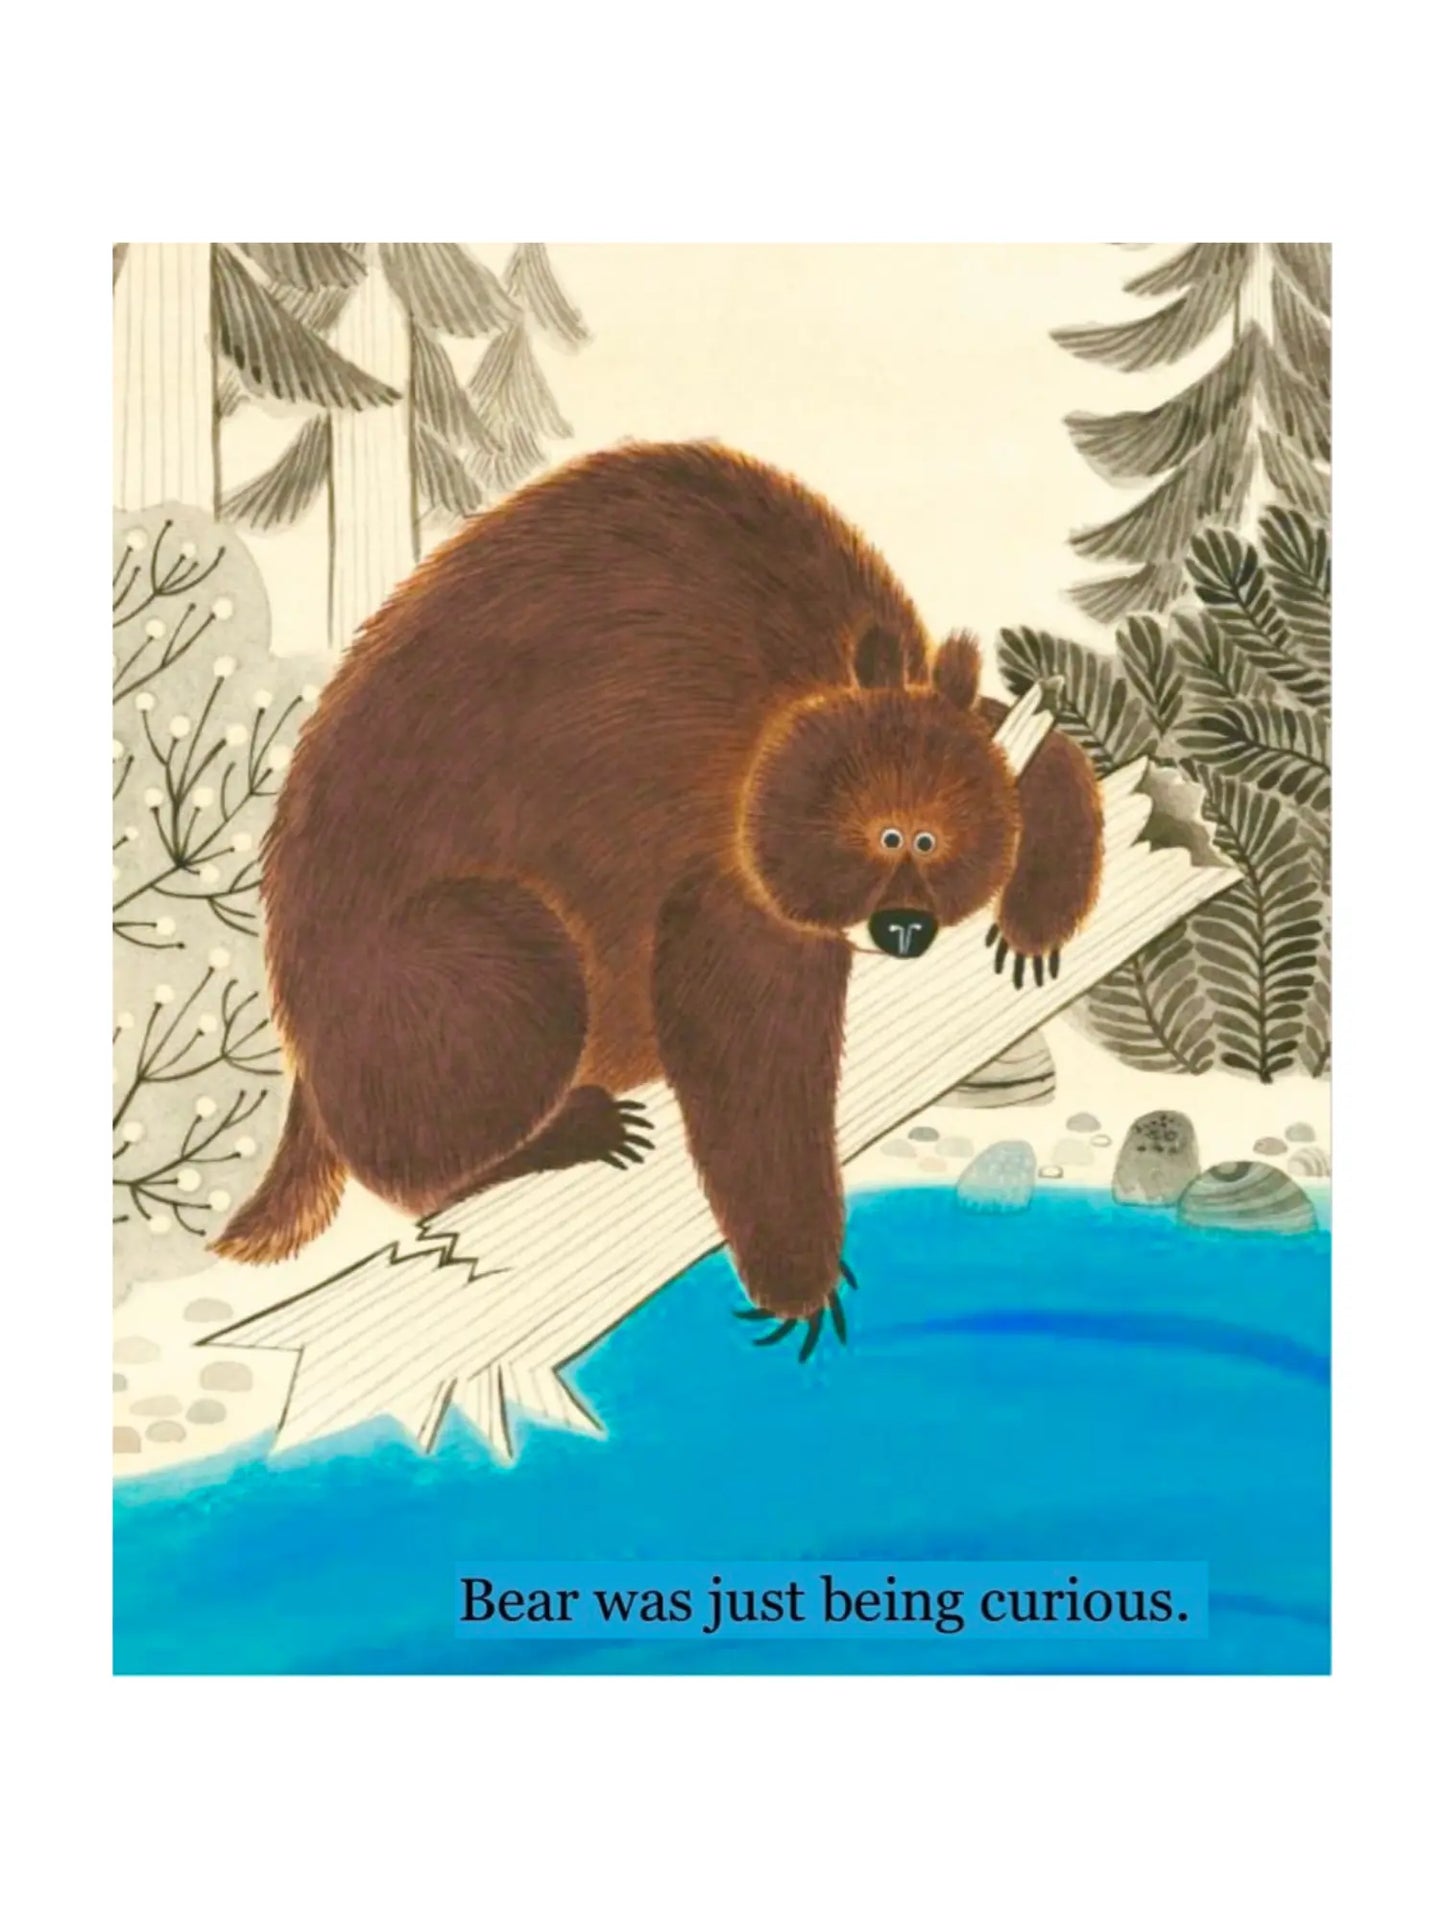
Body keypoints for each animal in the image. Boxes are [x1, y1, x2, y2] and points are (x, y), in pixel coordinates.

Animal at [213, 441, 1103, 1354]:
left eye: (931, 840)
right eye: (884, 837)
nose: (902, 927)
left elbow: (1032, 742)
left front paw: (1037, 916)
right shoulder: (712, 847)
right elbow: (743, 1048)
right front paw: (799, 1277)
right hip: (414, 956)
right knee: (488, 993)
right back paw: (562, 1131)